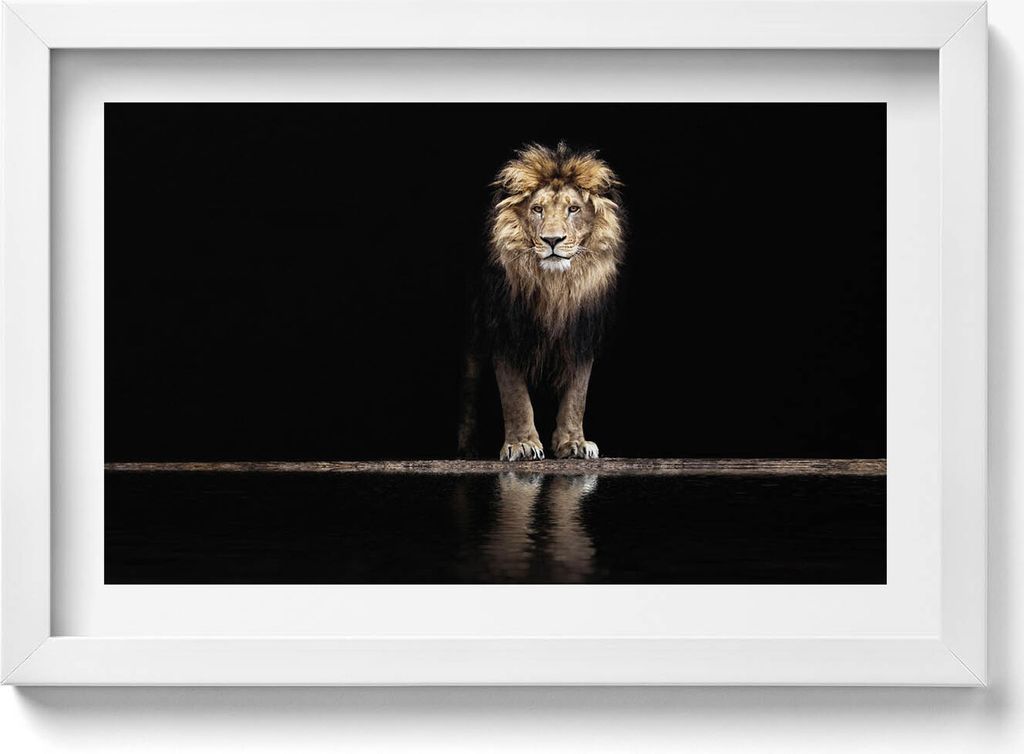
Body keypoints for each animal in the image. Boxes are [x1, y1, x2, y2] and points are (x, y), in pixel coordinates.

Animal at [458, 143, 625, 461]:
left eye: (573, 209)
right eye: (537, 209)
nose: (552, 240)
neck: (554, 287)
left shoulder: (581, 335)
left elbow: (576, 395)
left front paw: (574, 443)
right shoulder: (506, 331)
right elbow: (515, 396)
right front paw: (522, 444)